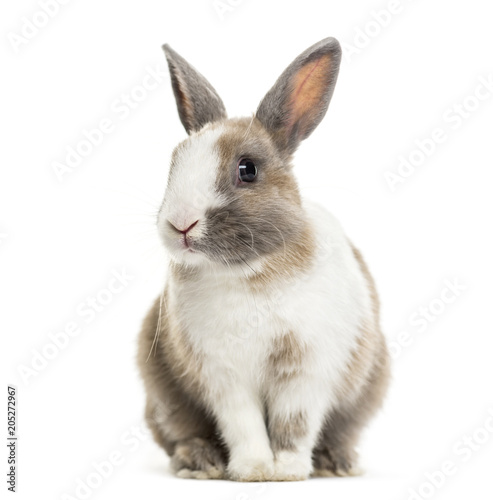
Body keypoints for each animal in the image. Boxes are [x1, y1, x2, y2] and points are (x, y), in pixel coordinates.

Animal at [136, 37, 390, 482]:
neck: (246, 273)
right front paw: (254, 470)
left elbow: (294, 424)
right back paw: (200, 463)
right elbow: (244, 424)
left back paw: (338, 463)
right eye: (174, 164)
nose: (180, 224)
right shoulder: (224, 376)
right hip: (163, 396)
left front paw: (286, 471)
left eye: (247, 169)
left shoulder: (306, 370)